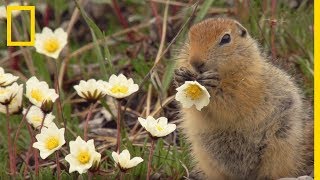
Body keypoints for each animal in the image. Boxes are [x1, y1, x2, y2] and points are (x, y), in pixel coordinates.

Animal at [174, 17, 314, 179]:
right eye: (189, 38)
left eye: (226, 38)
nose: (195, 62)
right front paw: (180, 76)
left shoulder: (248, 83)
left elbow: (233, 102)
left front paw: (212, 83)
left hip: (281, 145)